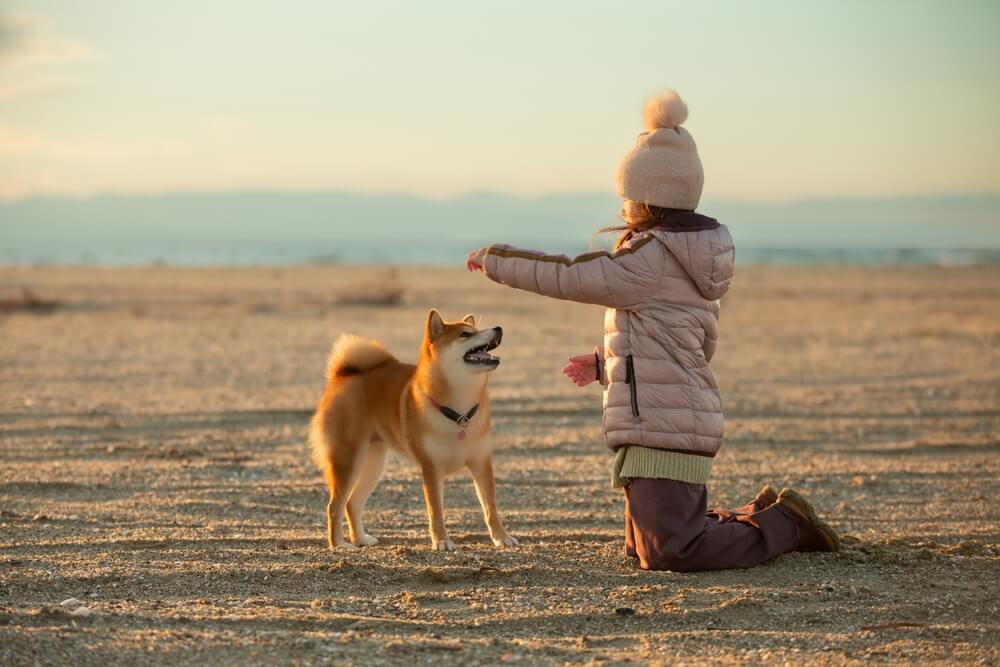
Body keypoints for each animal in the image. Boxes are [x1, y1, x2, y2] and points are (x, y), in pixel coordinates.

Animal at [310, 310, 516, 552]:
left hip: (373, 463)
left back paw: (361, 539)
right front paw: (442, 541)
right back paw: (339, 545)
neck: (460, 412)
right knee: (334, 506)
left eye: (474, 330)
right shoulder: (431, 468)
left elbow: (490, 508)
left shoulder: (481, 462)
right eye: (465, 334)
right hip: (348, 460)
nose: (498, 328)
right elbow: (436, 511)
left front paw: (502, 537)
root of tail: (342, 376)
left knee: (352, 503)